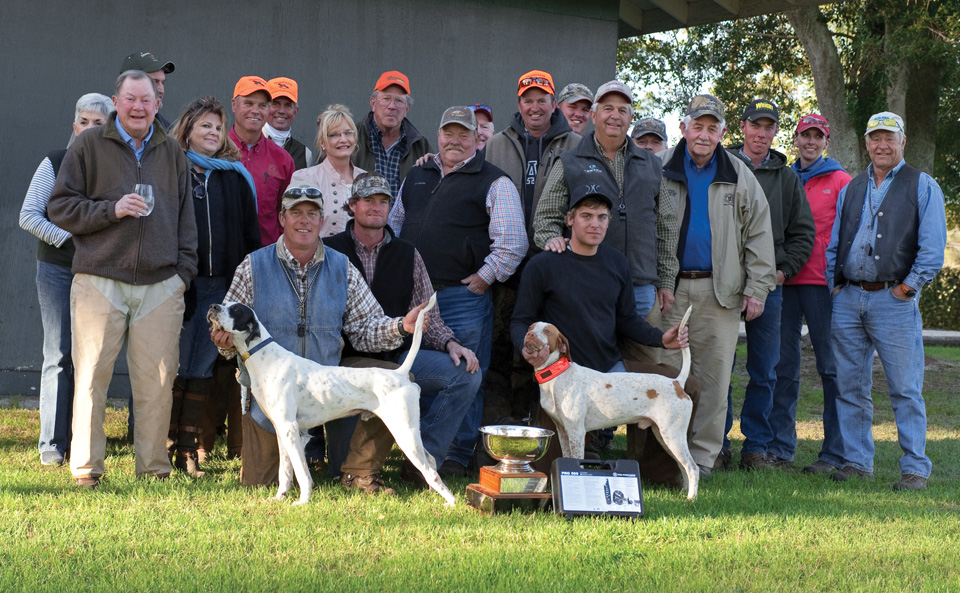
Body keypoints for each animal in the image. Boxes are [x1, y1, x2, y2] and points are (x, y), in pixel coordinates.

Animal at [206, 294, 454, 506]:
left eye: (236, 309)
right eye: (225, 303)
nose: (212, 307)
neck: (266, 358)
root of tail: (400, 374)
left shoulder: (290, 429)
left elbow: (301, 473)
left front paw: (303, 501)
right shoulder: (280, 430)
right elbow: (285, 472)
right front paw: (279, 498)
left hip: (404, 433)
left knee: (431, 472)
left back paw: (451, 503)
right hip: (410, 434)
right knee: (432, 462)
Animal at [524, 308, 696, 498]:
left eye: (547, 331)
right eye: (531, 327)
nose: (530, 334)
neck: (558, 375)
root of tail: (677, 383)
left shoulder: (576, 431)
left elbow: (577, 459)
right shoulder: (563, 431)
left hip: (672, 435)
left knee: (692, 467)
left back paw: (691, 498)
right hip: (664, 436)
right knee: (683, 466)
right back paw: (685, 494)